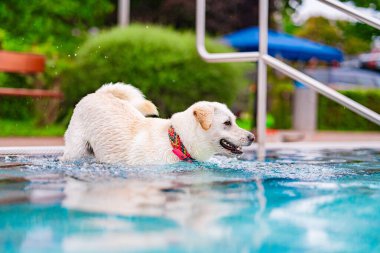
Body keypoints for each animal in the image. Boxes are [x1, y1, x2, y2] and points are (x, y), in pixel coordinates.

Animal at [62, 83, 254, 165]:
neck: (177, 142)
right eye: (227, 123)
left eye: (235, 120)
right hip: (76, 149)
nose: (252, 137)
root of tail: (98, 93)